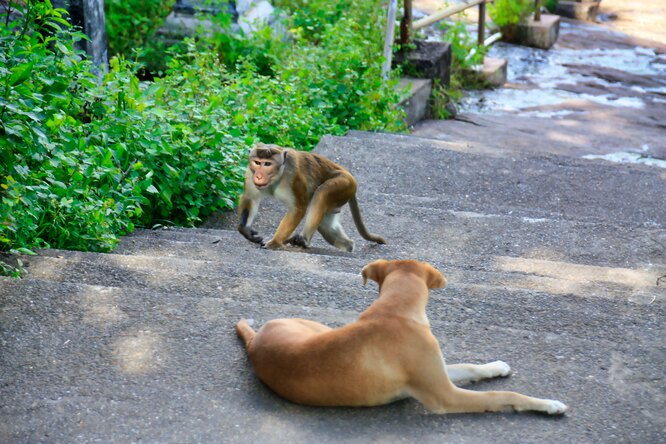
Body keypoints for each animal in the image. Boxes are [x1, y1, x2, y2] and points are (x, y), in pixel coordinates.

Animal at [235, 258, 564, 414]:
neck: (394, 310)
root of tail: (254, 342)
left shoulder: (438, 373)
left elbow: (470, 367)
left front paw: (495, 366)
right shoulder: (445, 395)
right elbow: (503, 396)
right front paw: (549, 404)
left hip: (318, 328)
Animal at [237, 143, 384, 251]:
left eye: (267, 164)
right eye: (257, 162)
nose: (258, 176)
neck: (278, 175)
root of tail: (349, 174)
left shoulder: (294, 177)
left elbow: (298, 208)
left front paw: (275, 242)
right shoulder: (249, 172)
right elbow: (250, 198)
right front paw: (246, 231)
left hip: (345, 184)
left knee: (322, 193)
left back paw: (303, 241)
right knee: (325, 226)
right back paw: (348, 246)